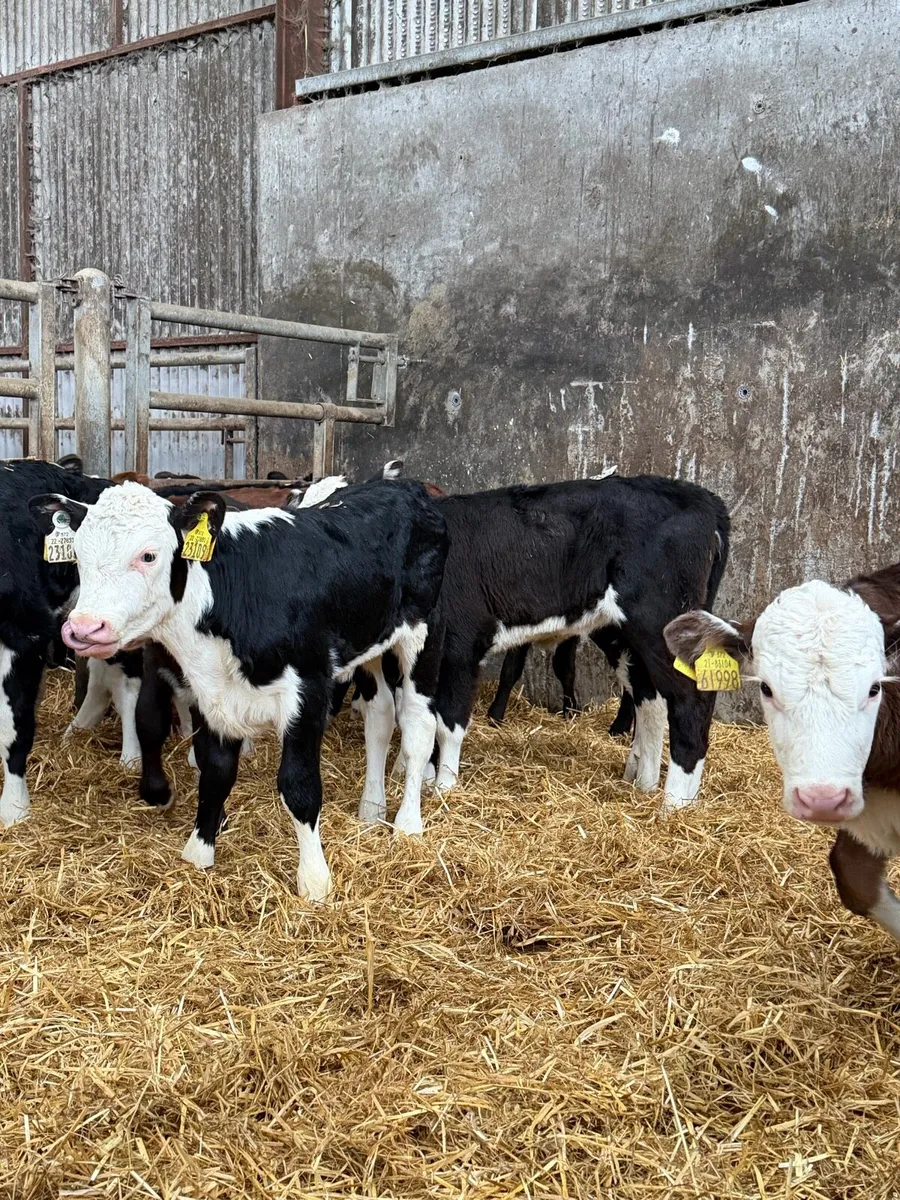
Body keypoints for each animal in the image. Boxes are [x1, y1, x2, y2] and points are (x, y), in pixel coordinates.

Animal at [34, 478, 448, 899]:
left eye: (148, 555)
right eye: (78, 555)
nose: (84, 629)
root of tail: (403, 486)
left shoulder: (309, 690)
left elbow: (298, 786)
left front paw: (315, 881)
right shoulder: (214, 694)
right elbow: (215, 772)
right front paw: (199, 853)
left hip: (423, 636)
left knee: (417, 727)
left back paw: (407, 824)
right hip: (372, 646)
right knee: (379, 718)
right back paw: (371, 809)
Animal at [425, 476, 730, 808]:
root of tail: (701, 496)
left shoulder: (461, 645)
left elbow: (447, 722)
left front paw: (443, 789)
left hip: (661, 623)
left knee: (691, 700)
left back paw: (675, 804)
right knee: (650, 699)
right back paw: (644, 785)